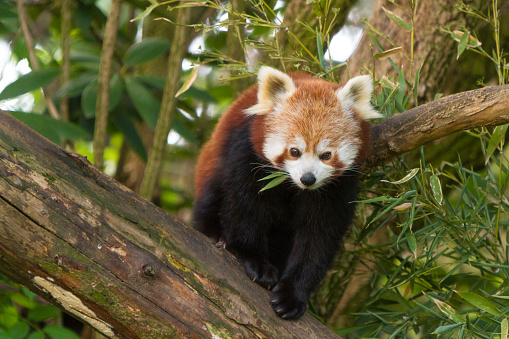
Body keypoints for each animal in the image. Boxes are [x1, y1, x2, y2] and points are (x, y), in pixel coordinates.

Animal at [192, 67, 380, 320]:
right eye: (294, 151)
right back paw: (215, 234)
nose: (308, 179)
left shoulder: (337, 188)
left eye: (326, 155)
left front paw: (292, 294)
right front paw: (255, 261)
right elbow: (245, 210)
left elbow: (319, 237)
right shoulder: (249, 155)